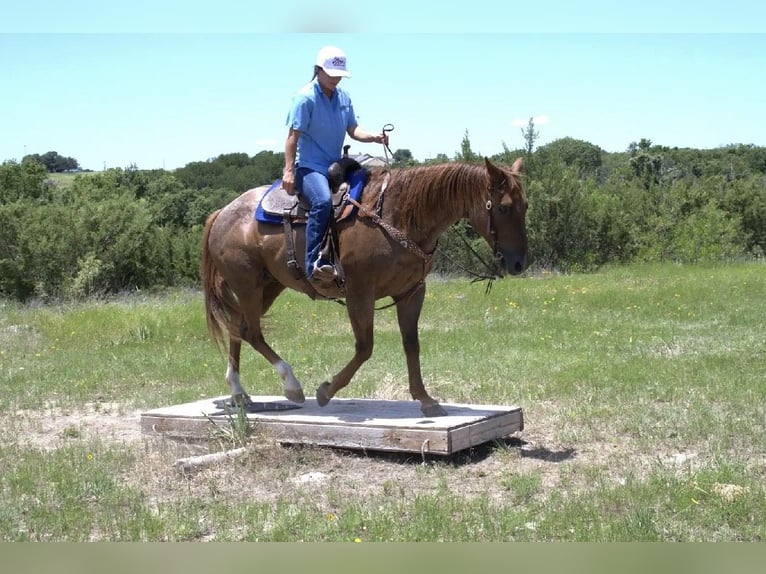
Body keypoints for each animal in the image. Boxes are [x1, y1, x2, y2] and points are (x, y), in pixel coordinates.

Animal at [200, 156, 528, 417]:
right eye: (503, 208)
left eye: (525, 205)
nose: (518, 263)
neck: (398, 214)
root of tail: (222, 212)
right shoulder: (359, 292)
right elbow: (365, 347)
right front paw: (326, 391)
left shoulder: (411, 292)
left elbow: (411, 344)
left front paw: (425, 400)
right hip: (247, 284)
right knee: (251, 332)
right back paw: (292, 386)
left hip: (268, 286)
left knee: (238, 328)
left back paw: (238, 392)